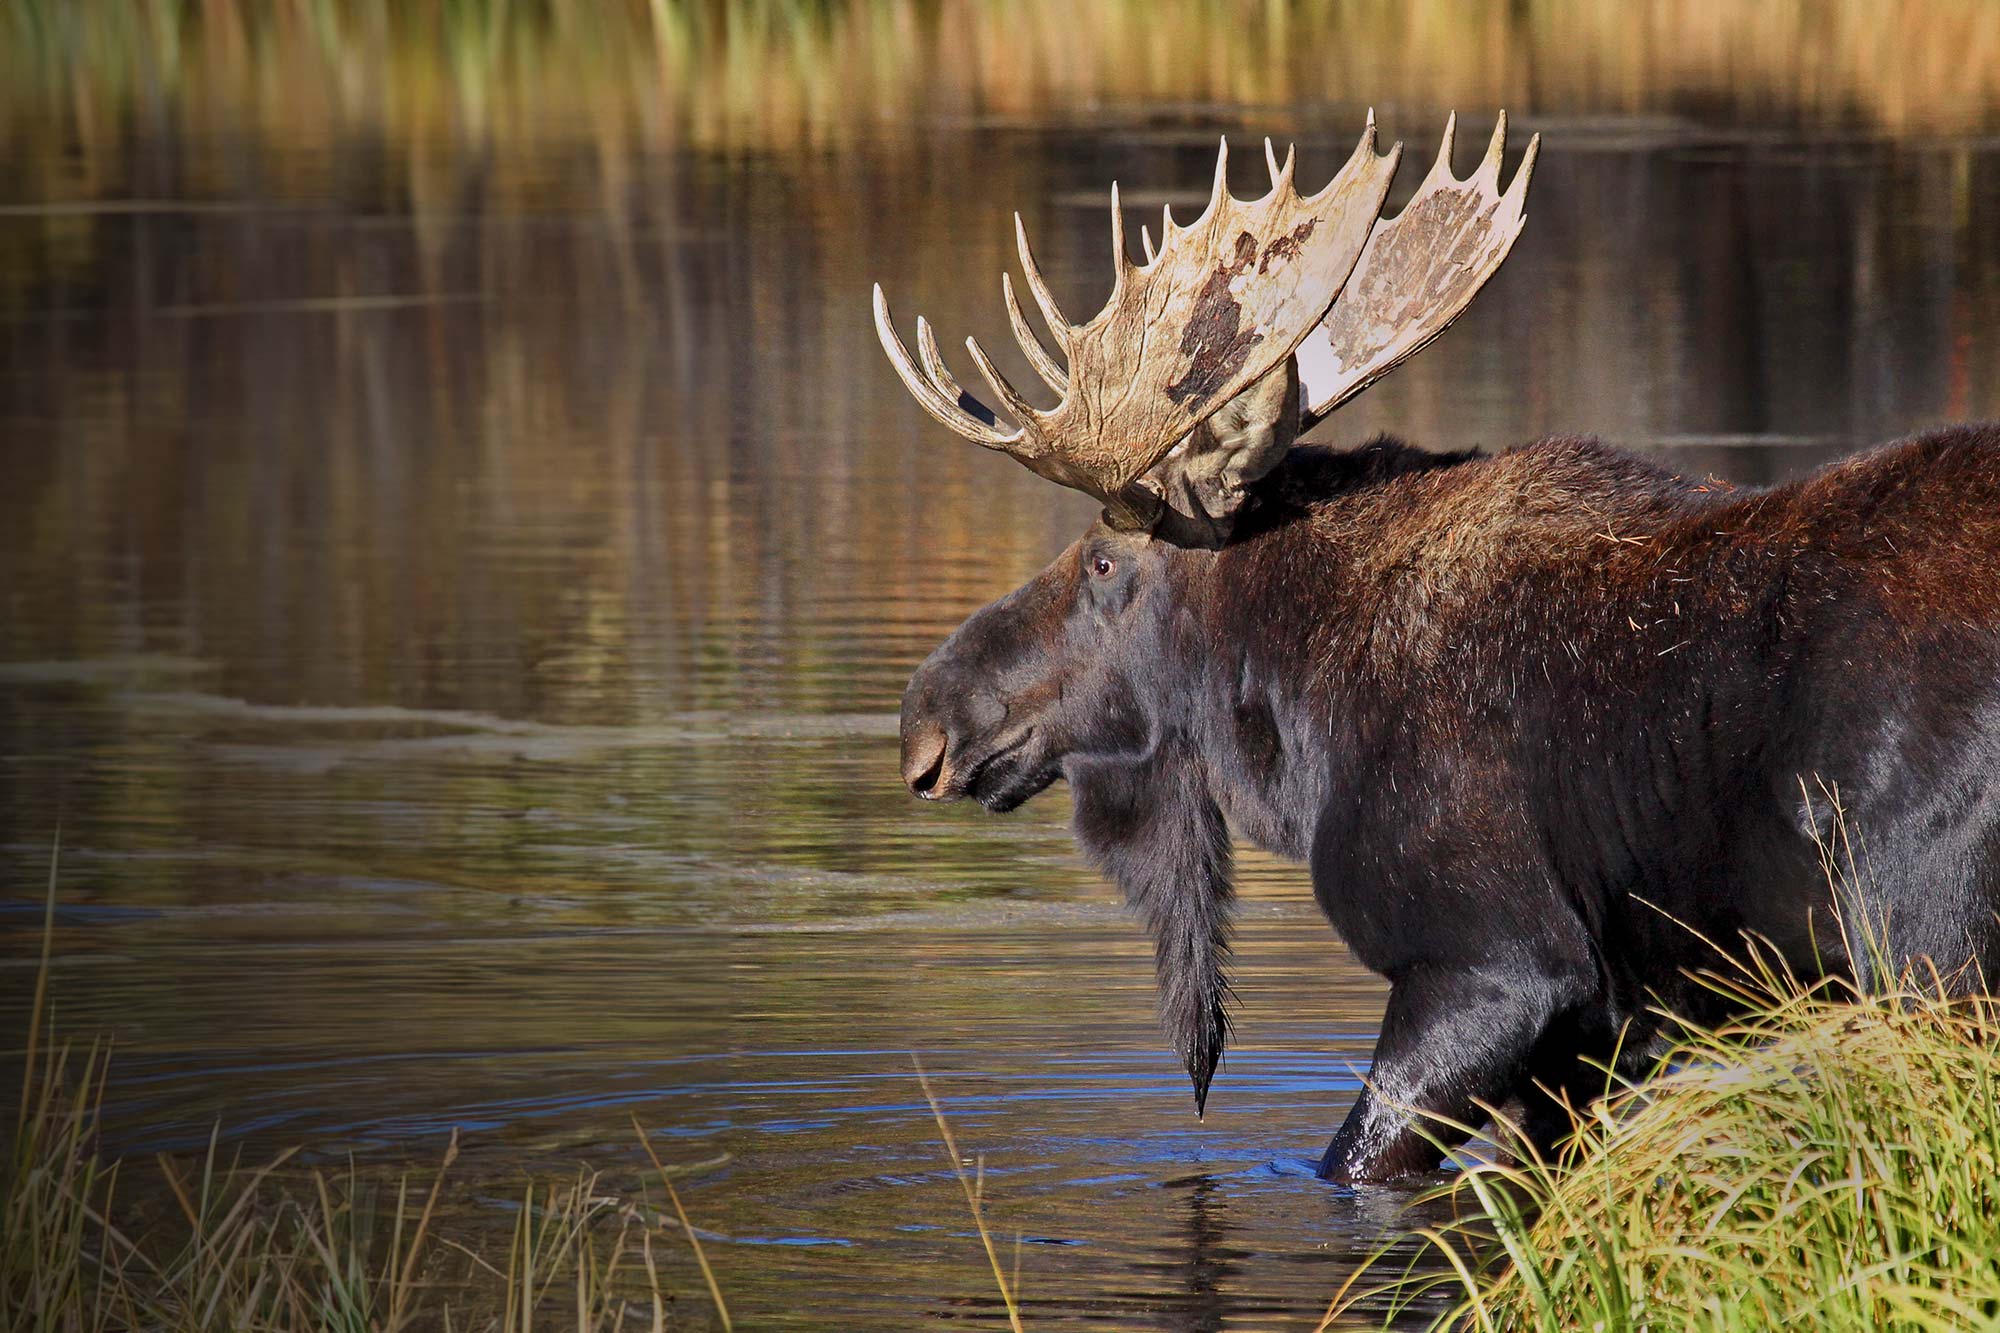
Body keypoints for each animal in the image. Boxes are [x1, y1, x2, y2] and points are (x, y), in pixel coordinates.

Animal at [872, 111, 2000, 1176]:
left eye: (1104, 564)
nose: (928, 719)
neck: (1293, 722)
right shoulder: (1588, 1034)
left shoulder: (1493, 962)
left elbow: (1357, 1161)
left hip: (1924, 935)